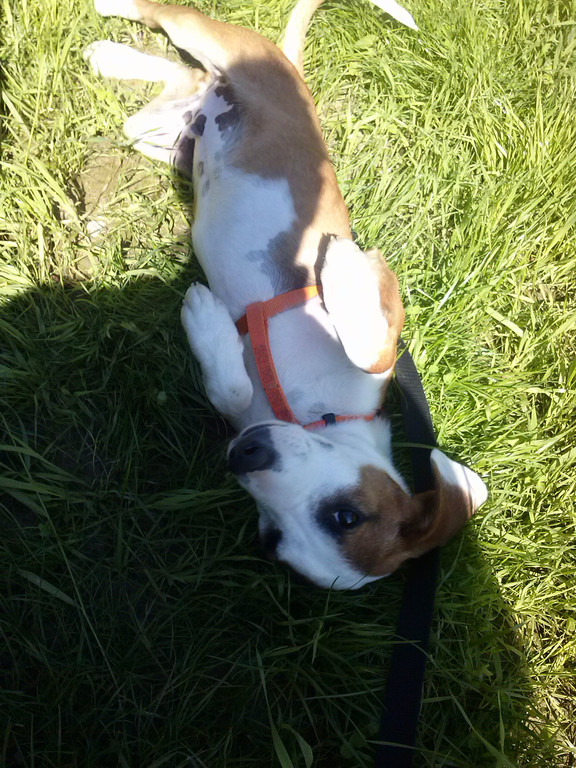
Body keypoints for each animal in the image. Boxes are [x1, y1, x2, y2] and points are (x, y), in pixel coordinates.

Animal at [85, 0, 487, 589]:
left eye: (271, 538)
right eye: (348, 515)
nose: (244, 454)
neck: (313, 412)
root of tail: (291, 72)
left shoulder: (243, 417)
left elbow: (228, 392)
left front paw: (207, 325)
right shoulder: (381, 325)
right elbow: (373, 349)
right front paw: (339, 265)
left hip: (165, 129)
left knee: (184, 81)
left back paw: (112, 58)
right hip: (219, 46)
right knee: (171, 17)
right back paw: (112, 16)